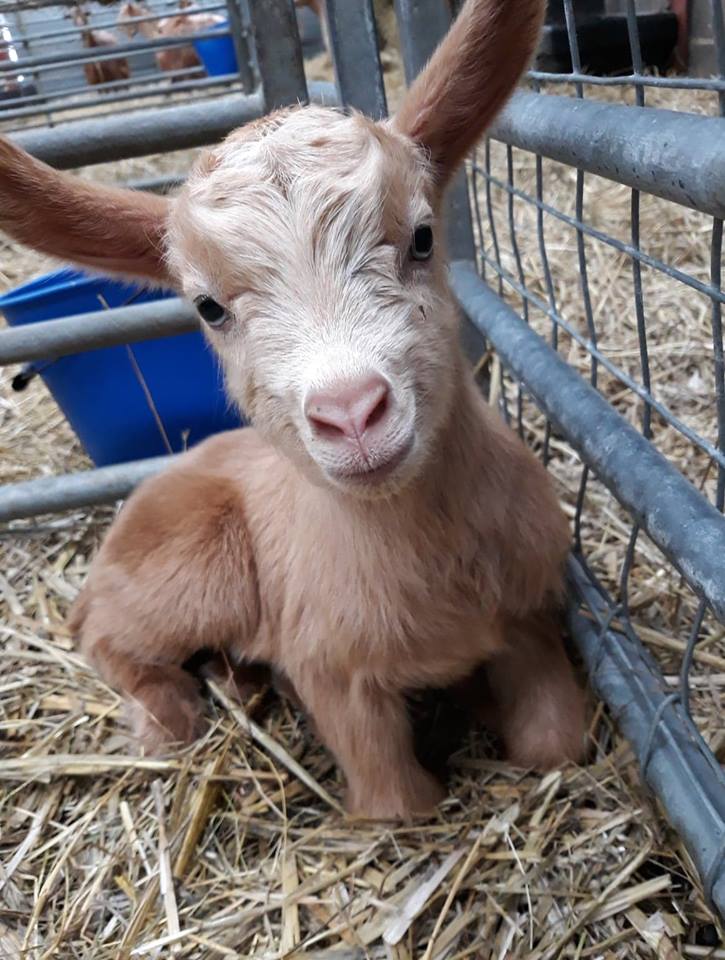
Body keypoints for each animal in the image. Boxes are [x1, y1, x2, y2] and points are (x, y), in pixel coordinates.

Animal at [0, 0, 584, 816]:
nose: (351, 414)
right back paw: (167, 716)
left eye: (423, 238)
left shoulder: (528, 611)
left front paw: (494, 714)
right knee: (103, 631)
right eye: (208, 307)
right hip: (191, 571)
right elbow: (396, 807)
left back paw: (238, 679)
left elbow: (556, 745)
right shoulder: (331, 670)